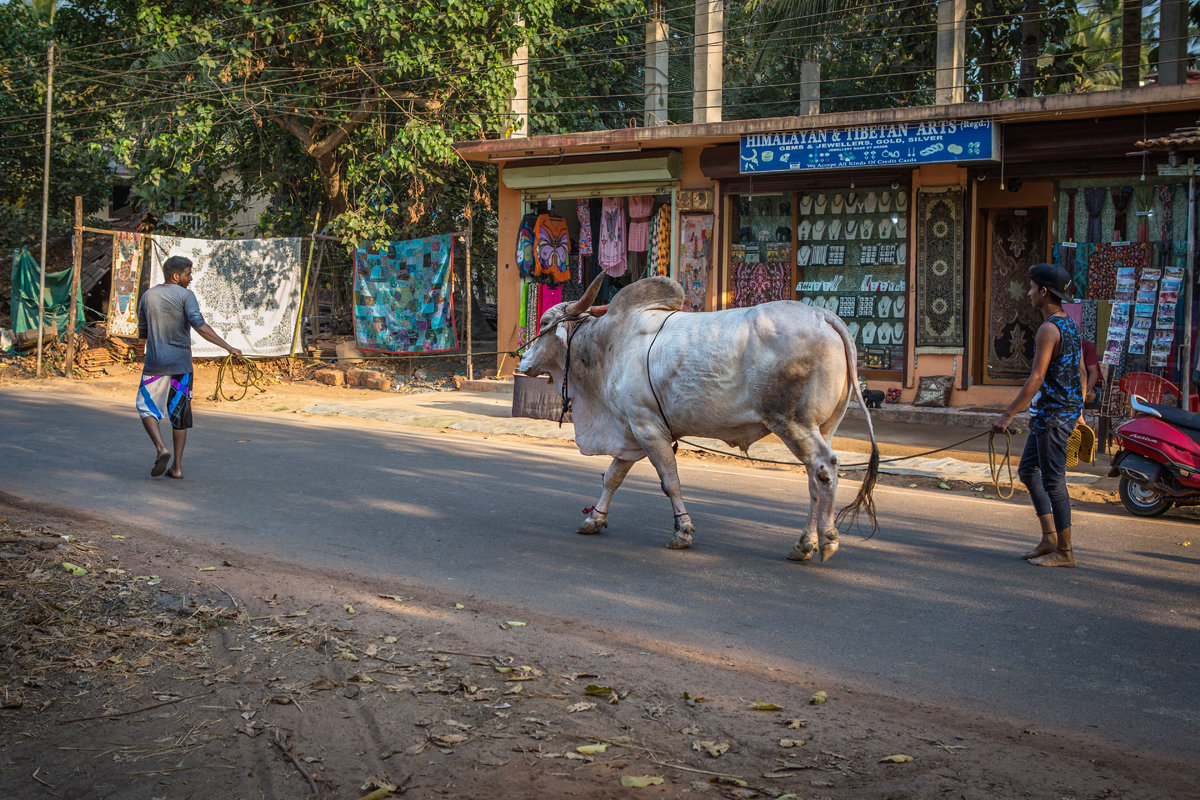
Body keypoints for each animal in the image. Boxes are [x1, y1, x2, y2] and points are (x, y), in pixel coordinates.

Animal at [518, 275, 883, 563]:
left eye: (545, 322)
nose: (521, 360)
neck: (608, 345)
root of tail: (824, 316)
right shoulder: (632, 432)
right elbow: (612, 478)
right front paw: (594, 520)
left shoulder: (648, 429)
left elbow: (670, 481)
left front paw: (682, 531)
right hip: (821, 427)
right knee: (814, 479)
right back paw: (804, 543)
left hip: (792, 423)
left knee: (825, 468)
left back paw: (825, 540)